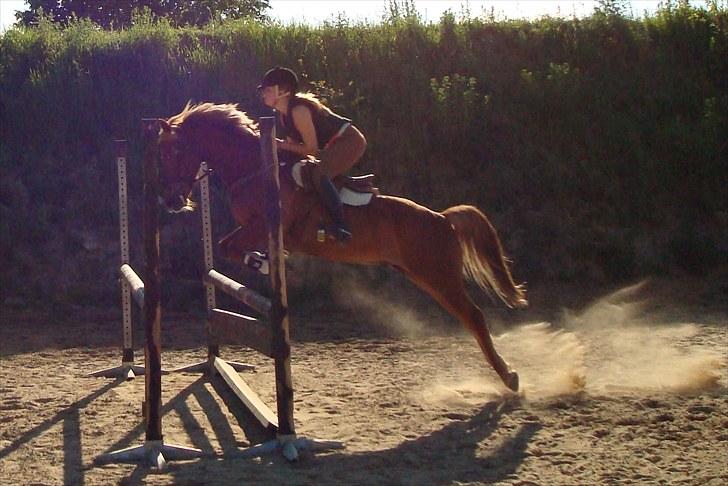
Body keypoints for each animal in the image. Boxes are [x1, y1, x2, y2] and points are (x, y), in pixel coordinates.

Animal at [156, 101, 528, 392]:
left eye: (175, 151)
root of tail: (443, 218)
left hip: (438, 275)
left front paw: (265, 262)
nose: (171, 201)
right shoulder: (253, 229)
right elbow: (225, 246)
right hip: (422, 275)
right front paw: (262, 260)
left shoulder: (266, 225)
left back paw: (510, 378)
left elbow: (229, 246)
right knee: (469, 316)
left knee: (474, 316)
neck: (252, 167)